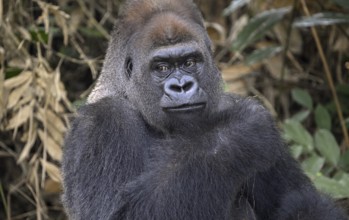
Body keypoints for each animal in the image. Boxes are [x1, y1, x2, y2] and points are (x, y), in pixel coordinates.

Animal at [61, 0, 346, 220]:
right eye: (162, 67)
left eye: (190, 62)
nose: (182, 86)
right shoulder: (103, 120)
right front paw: (242, 133)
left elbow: (304, 202)